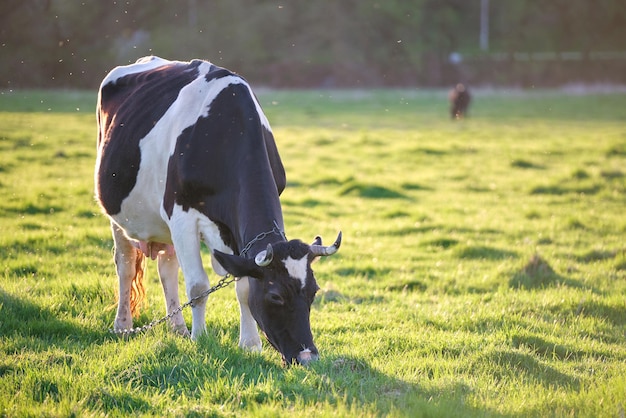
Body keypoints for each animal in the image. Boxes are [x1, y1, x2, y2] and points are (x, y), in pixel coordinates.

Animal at [94, 56, 342, 366]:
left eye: (313, 292)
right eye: (275, 296)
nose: (308, 356)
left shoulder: (235, 233)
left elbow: (244, 286)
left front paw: (249, 344)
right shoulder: (180, 215)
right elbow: (198, 286)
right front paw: (200, 338)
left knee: (167, 267)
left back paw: (178, 328)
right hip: (119, 215)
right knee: (126, 264)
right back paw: (123, 325)